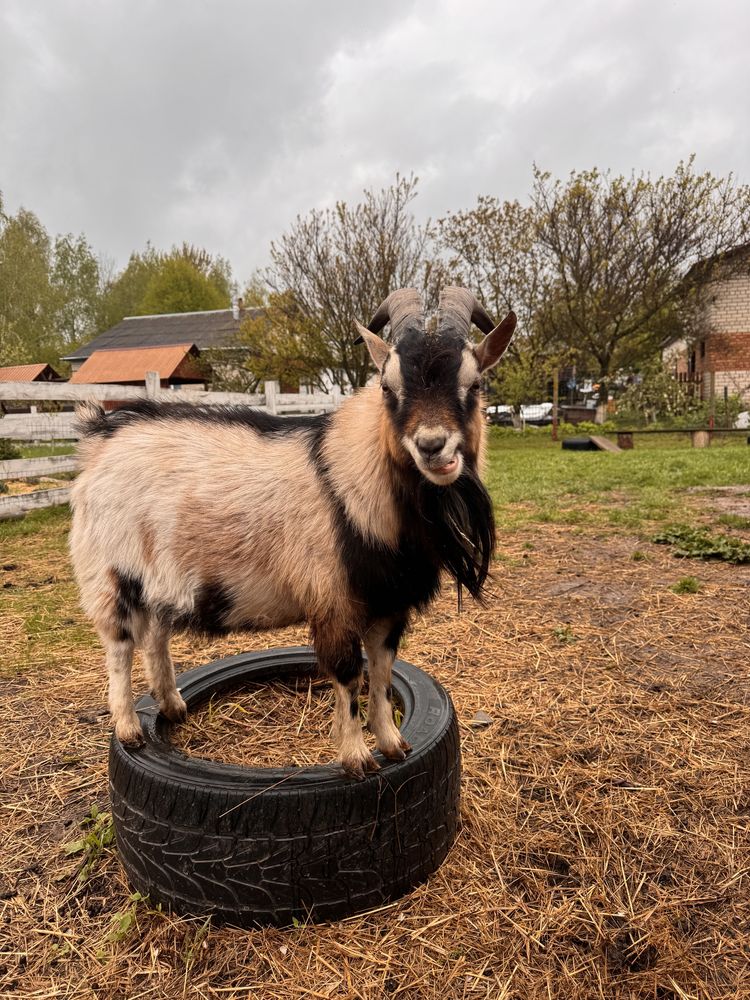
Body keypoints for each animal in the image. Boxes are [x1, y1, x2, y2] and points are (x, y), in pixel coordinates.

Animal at [70, 286, 516, 776]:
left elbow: (381, 674)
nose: (433, 446)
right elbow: (349, 676)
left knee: (154, 635)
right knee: (119, 646)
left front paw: (394, 744)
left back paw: (172, 705)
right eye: (388, 387)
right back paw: (130, 729)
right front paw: (357, 757)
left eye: (475, 384)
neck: (353, 484)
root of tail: (99, 439)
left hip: (157, 581)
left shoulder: (388, 603)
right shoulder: (334, 603)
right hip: (110, 574)